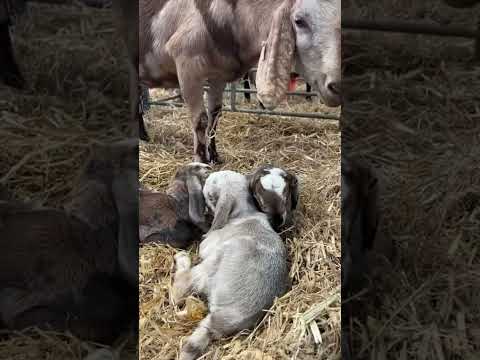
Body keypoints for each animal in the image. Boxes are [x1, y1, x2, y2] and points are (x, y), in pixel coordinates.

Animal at [139, 0, 342, 163]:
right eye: (299, 21)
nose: (337, 86)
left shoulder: (218, 76)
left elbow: (214, 116)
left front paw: (215, 157)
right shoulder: (187, 65)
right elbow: (200, 120)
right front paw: (201, 162)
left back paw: (144, 137)